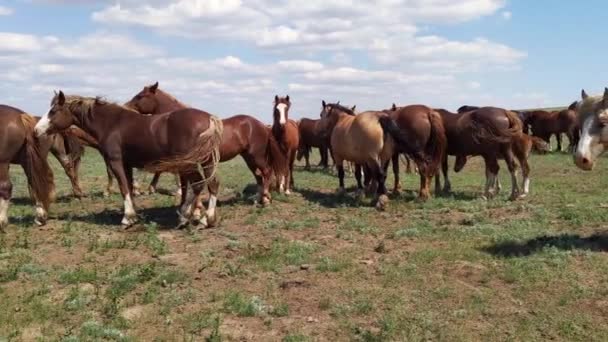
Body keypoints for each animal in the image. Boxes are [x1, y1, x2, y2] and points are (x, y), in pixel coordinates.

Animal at [34, 92, 223, 228]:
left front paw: (127, 218)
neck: (111, 123)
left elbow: (123, 187)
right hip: (204, 163)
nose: (36, 130)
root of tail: (209, 118)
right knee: (212, 184)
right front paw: (134, 216)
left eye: (53, 111)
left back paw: (185, 216)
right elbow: (130, 188)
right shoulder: (127, 164)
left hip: (188, 164)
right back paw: (207, 219)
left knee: (198, 185)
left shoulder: (116, 162)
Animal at [126, 83, 288, 210]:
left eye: (140, 96)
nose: (127, 108)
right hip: (248, 158)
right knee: (259, 176)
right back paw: (258, 199)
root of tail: (262, 125)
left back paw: (266, 200)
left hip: (256, 156)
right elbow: (186, 183)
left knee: (266, 172)